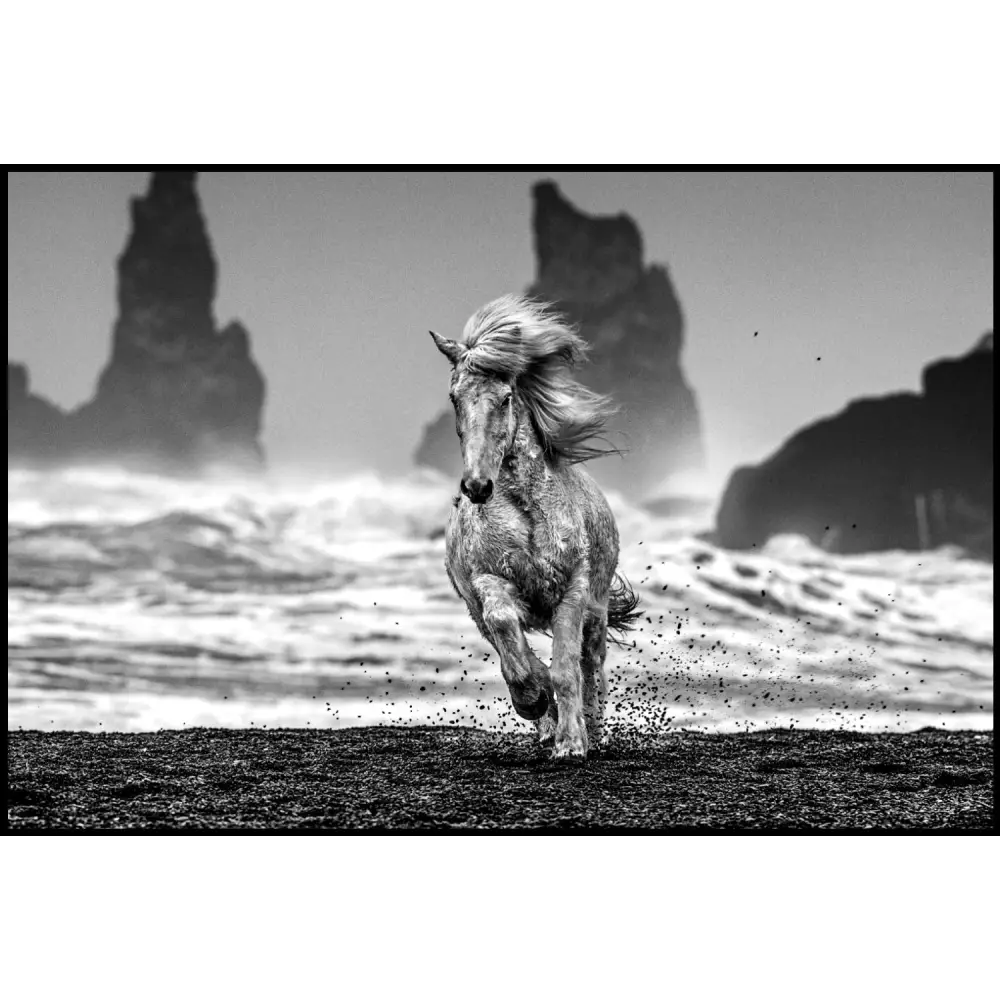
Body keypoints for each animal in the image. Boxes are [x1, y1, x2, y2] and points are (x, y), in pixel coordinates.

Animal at [429, 293, 641, 759]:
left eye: (507, 397)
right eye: (454, 397)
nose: (477, 486)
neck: (527, 512)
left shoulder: (573, 591)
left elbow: (566, 668)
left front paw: (572, 742)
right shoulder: (489, 583)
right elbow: (514, 645)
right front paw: (535, 701)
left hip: (597, 611)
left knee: (592, 665)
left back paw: (590, 728)